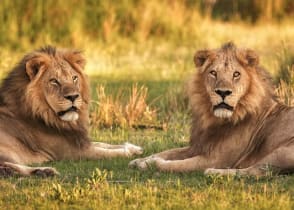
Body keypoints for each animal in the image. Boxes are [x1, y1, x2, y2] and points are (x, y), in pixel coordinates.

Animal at [0, 46, 142, 176]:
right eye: (54, 81)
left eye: (74, 78)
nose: (73, 97)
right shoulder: (75, 152)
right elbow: (107, 152)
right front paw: (127, 152)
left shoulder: (79, 141)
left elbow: (104, 144)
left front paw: (133, 148)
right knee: (6, 168)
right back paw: (45, 171)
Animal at [130, 41, 294, 176]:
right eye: (213, 73)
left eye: (236, 74)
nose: (223, 92)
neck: (213, 118)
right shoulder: (197, 146)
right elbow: (168, 151)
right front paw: (140, 160)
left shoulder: (217, 159)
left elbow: (177, 165)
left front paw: (150, 164)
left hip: (282, 151)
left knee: (258, 171)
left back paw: (214, 173)